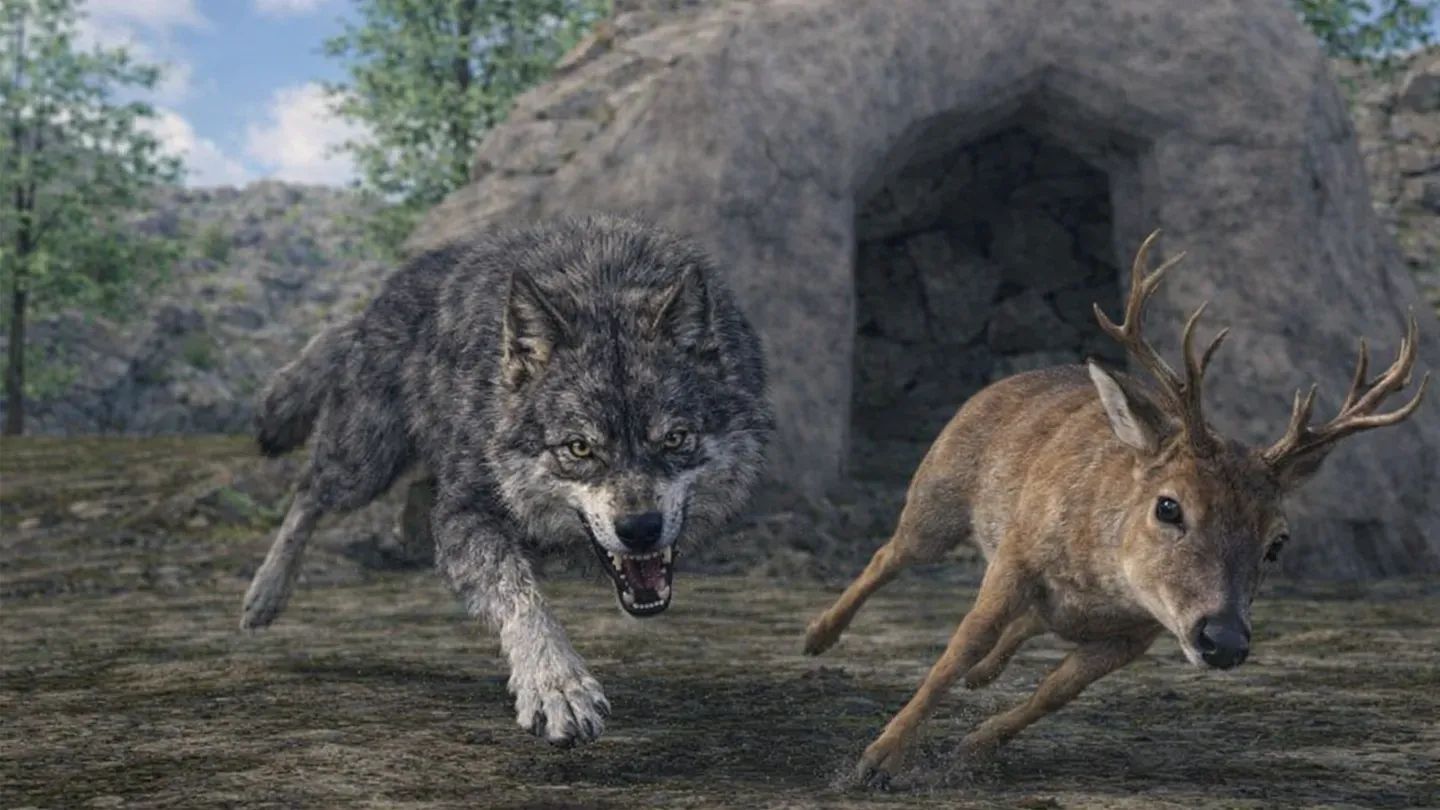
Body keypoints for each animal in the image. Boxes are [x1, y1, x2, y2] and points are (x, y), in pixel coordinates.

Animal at [239, 214, 774, 748]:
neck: (605, 283)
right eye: (579, 448)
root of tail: (372, 305)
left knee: (412, 499)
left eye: (675, 439)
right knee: (309, 492)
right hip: (363, 463)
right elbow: (520, 593)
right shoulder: (466, 512)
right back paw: (264, 595)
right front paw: (558, 688)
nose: (640, 529)